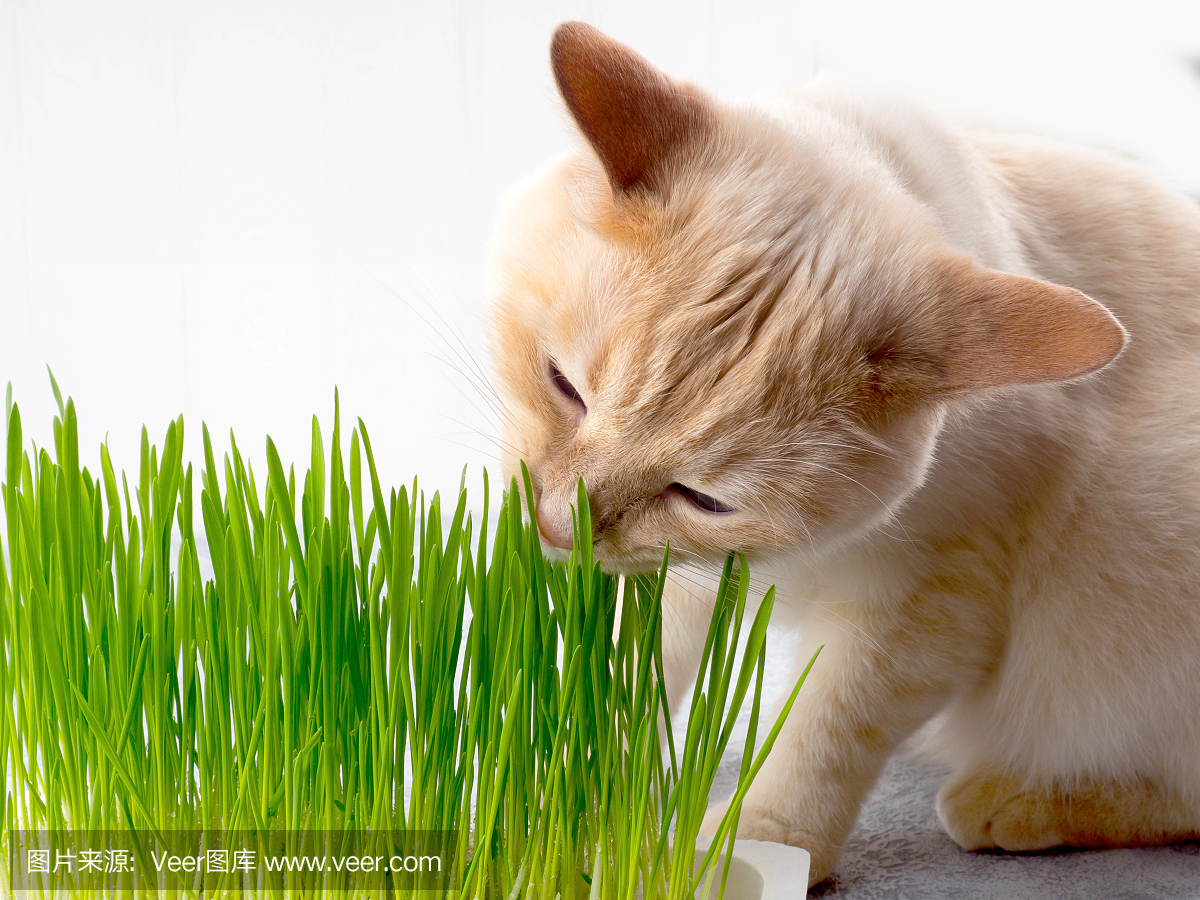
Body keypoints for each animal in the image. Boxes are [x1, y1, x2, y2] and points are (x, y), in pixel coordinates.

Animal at [484, 21, 1200, 888]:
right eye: (565, 388)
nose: (561, 528)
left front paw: (749, 850)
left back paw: (1010, 803)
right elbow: (621, 689)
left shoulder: (927, 598)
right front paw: (564, 808)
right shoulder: (677, 582)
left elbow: (823, 730)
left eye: (707, 499)